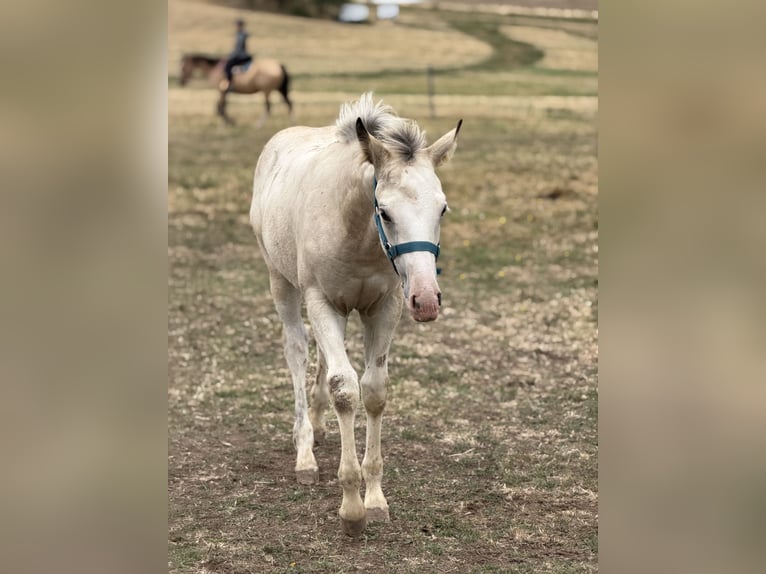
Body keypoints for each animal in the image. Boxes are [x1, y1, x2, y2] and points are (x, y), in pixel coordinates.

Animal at [250, 93, 462, 536]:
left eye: (443, 209)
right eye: (384, 211)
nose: (426, 299)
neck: (357, 235)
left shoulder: (384, 307)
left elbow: (374, 390)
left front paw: (376, 499)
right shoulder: (322, 301)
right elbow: (345, 388)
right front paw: (351, 506)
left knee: (321, 359)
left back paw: (318, 426)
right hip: (282, 283)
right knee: (298, 351)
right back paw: (305, 451)